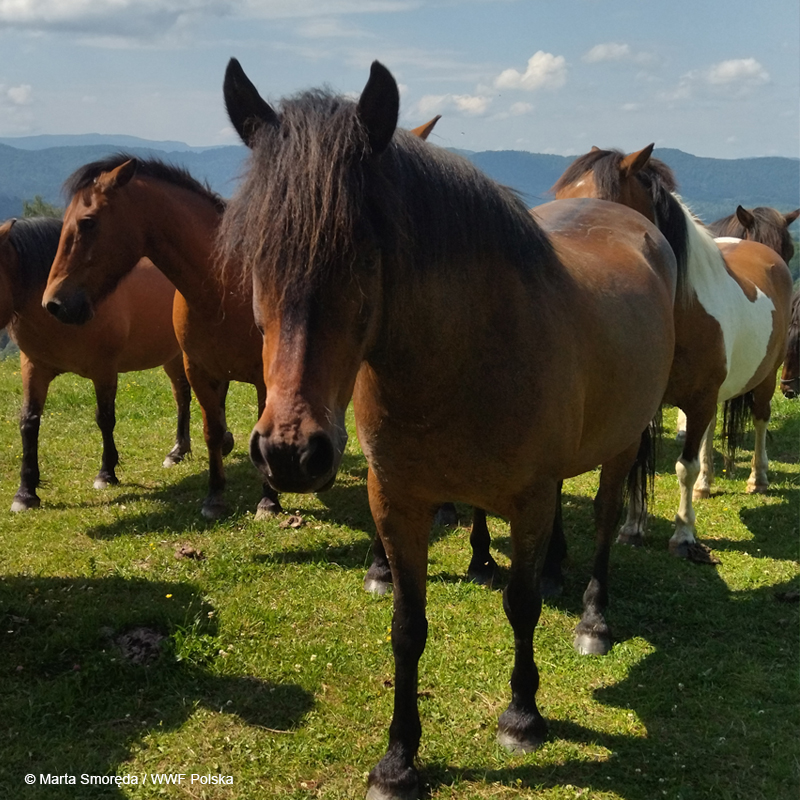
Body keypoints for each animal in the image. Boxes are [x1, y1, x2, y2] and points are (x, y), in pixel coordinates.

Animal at [0, 216, 192, 510]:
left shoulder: (105, 370)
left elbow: (105, 418)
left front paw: (106, 473)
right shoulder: (33, 367)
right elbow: (29, 423)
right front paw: (25, 492)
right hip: (171, 356)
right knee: (181, 395)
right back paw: (178, 451)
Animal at [222, 57, 680, 800]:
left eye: (363, 252)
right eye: (255, 252)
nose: (290, 452)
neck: (466, 353)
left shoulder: (527, 497)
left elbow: (521, 605)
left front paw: (522, 715)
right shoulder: (397, 499)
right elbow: (408, 627)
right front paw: (398, 760)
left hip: (617, 447)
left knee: (607, 522)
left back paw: (592, 618)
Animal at [552, 145, 792, 556]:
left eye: (600, 205)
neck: (680, 310)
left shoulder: (697, 400)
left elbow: (684, 466)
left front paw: (683, 534)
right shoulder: (644, 408)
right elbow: (638, 464)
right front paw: (632, 527)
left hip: (764, 378)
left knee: (760, 418)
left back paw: (757, 478)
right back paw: (706, 486)